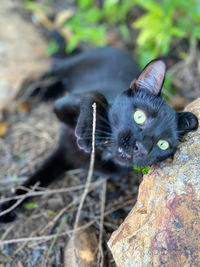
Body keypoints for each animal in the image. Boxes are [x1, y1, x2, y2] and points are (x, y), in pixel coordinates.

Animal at [0, 47, 198, 223]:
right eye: (139, 116)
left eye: (163, 144)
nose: (141, 148)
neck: (105, 151)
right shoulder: (62, 111)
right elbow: (95, 94)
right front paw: (91, 131)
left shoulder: (65, 158)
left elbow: (36, 181)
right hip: (69, 65)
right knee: (53, 67)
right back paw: (38, 92)